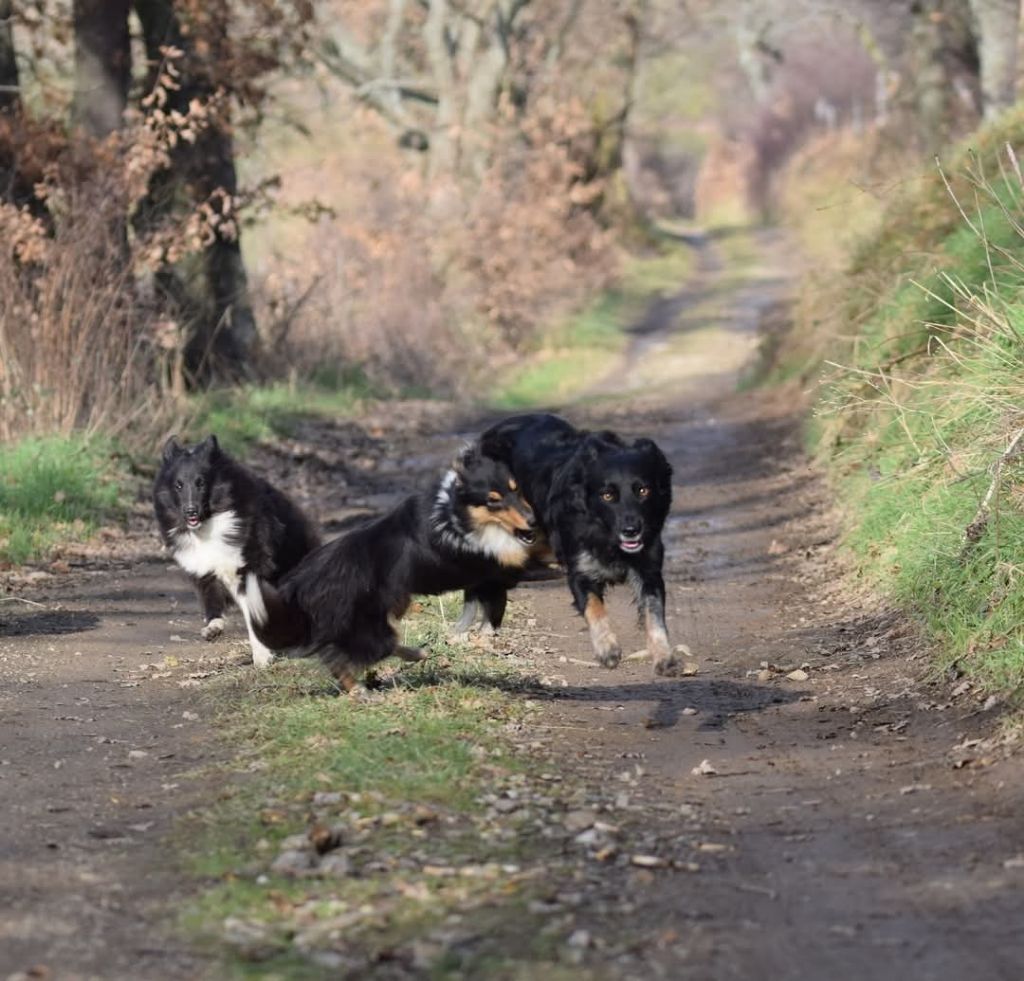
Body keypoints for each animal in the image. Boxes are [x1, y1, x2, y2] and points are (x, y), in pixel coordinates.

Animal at [150, 436, 319, 667]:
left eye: (201, 482)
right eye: (178, 485)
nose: (190, 511)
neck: (207, 525)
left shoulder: (250, 567)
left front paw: (262, 657)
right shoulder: (205, 572)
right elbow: (212, 601)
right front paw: (213, 628)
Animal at [251, 446, 540, 692]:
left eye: (515, 489)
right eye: (492, 500)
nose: (533, 521)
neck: (452, 512)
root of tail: (299, 582)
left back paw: (415, 655)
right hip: (369, 623)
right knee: (345, 654)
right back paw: (362, 688)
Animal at [464, 413, 679, 675]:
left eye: (643, 491)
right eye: (607, 495)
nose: (631, 531)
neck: (605, 535)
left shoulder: (648, 569)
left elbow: (654, 614)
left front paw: (664, 657)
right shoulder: (580, 569)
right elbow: (594, 607)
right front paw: (607, 649)